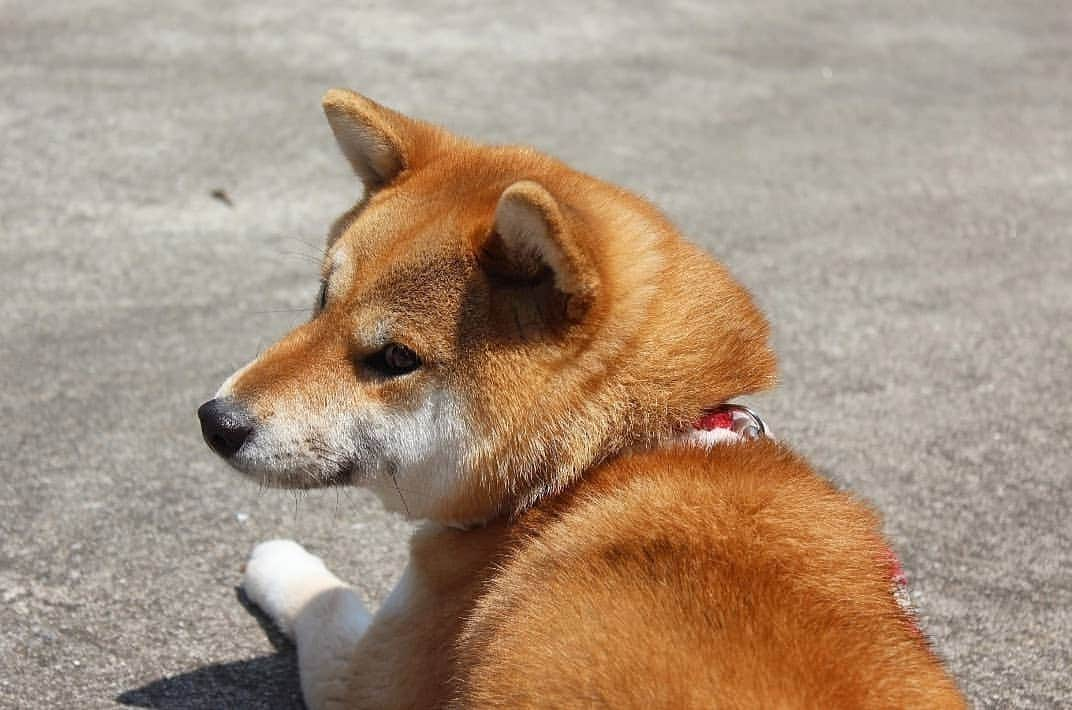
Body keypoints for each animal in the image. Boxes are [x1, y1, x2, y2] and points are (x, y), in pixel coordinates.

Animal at [199, 91, 964, 707]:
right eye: (322, 302)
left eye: (395, 359)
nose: (214, 420)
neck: (601, 460)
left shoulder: (379, 675)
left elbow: (328, 599)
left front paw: (277, 560)